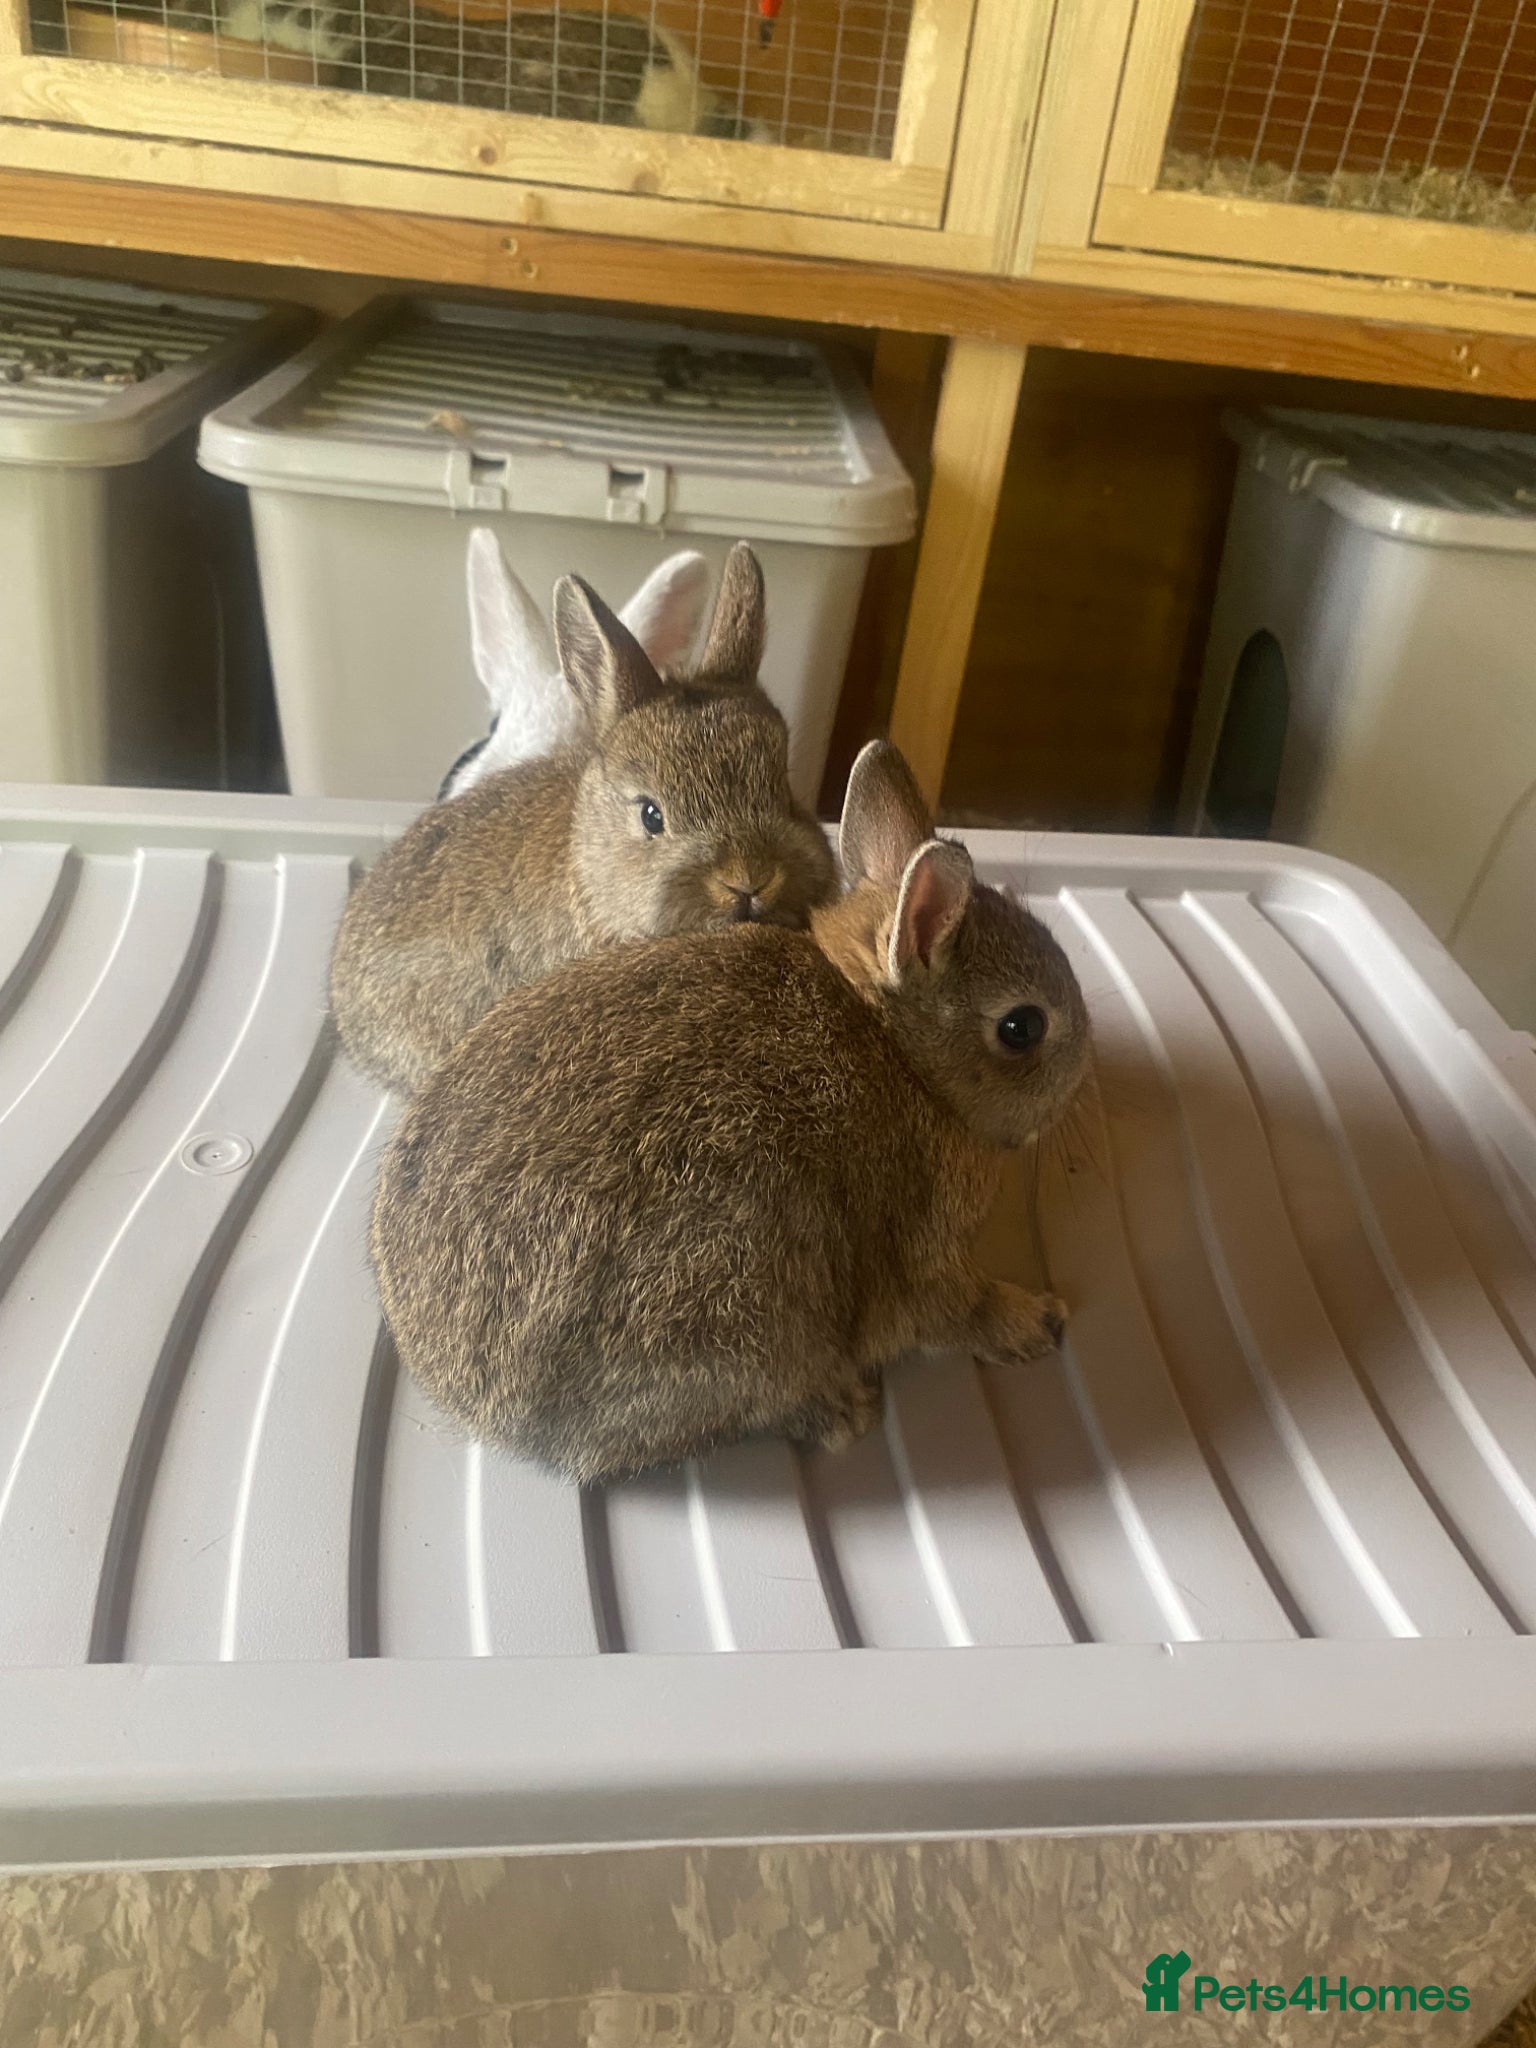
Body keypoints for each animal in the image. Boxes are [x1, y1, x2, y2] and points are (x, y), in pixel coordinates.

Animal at [371, 738, 1092, 1485]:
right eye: (1021, 1028)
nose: (1082, 1073)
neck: (898, 1050)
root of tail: (484, 1407)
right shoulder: (924, 1249)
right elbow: (960, 1308)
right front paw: (1038, 1321)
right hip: (738, 1317)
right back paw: (843, 1412)